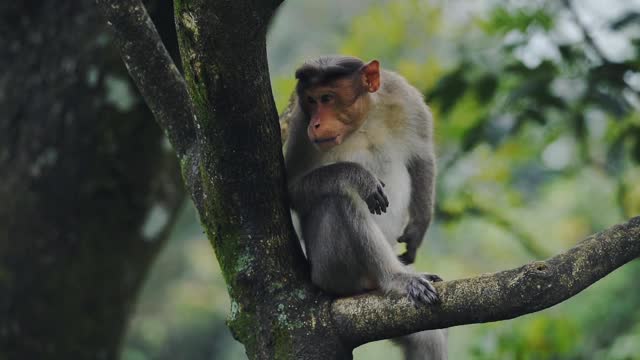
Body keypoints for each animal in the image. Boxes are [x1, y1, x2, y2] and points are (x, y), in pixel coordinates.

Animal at [284, 54, 444, 358]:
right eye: (310, 101)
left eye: (326, 98)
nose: (316, 124)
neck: (362, 121)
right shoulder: (299, 126)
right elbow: (292, 189)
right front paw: (358, 177)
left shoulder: (403, 96)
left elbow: (421, 156)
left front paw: (417, 231)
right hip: (330, 272)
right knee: (339, 200)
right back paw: (395, 278)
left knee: (429, 336)